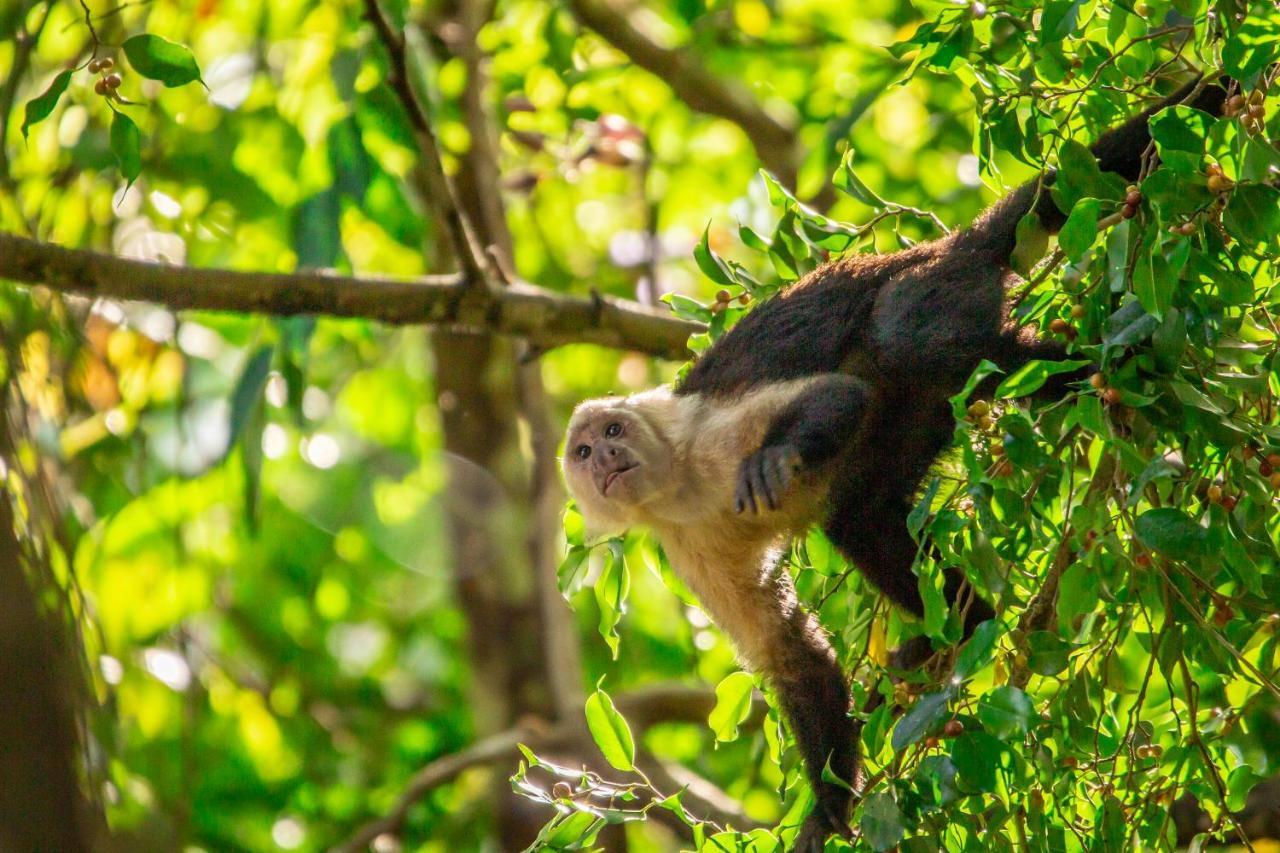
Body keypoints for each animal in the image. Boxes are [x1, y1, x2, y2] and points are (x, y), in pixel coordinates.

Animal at [560, 78, 1228, 845]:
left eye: (615, 428)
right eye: (584, 449)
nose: (606, 455)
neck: (676, 487)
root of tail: (941, 247)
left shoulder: (701, 437)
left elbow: (832, 398)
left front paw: (779, 456)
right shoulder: (686, 549)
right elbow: (792, 656)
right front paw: (826, 809)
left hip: (939, 288)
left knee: (907, 339)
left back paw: (1129, 368)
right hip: (921, 413)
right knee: (863, 514)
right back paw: (968, 625)